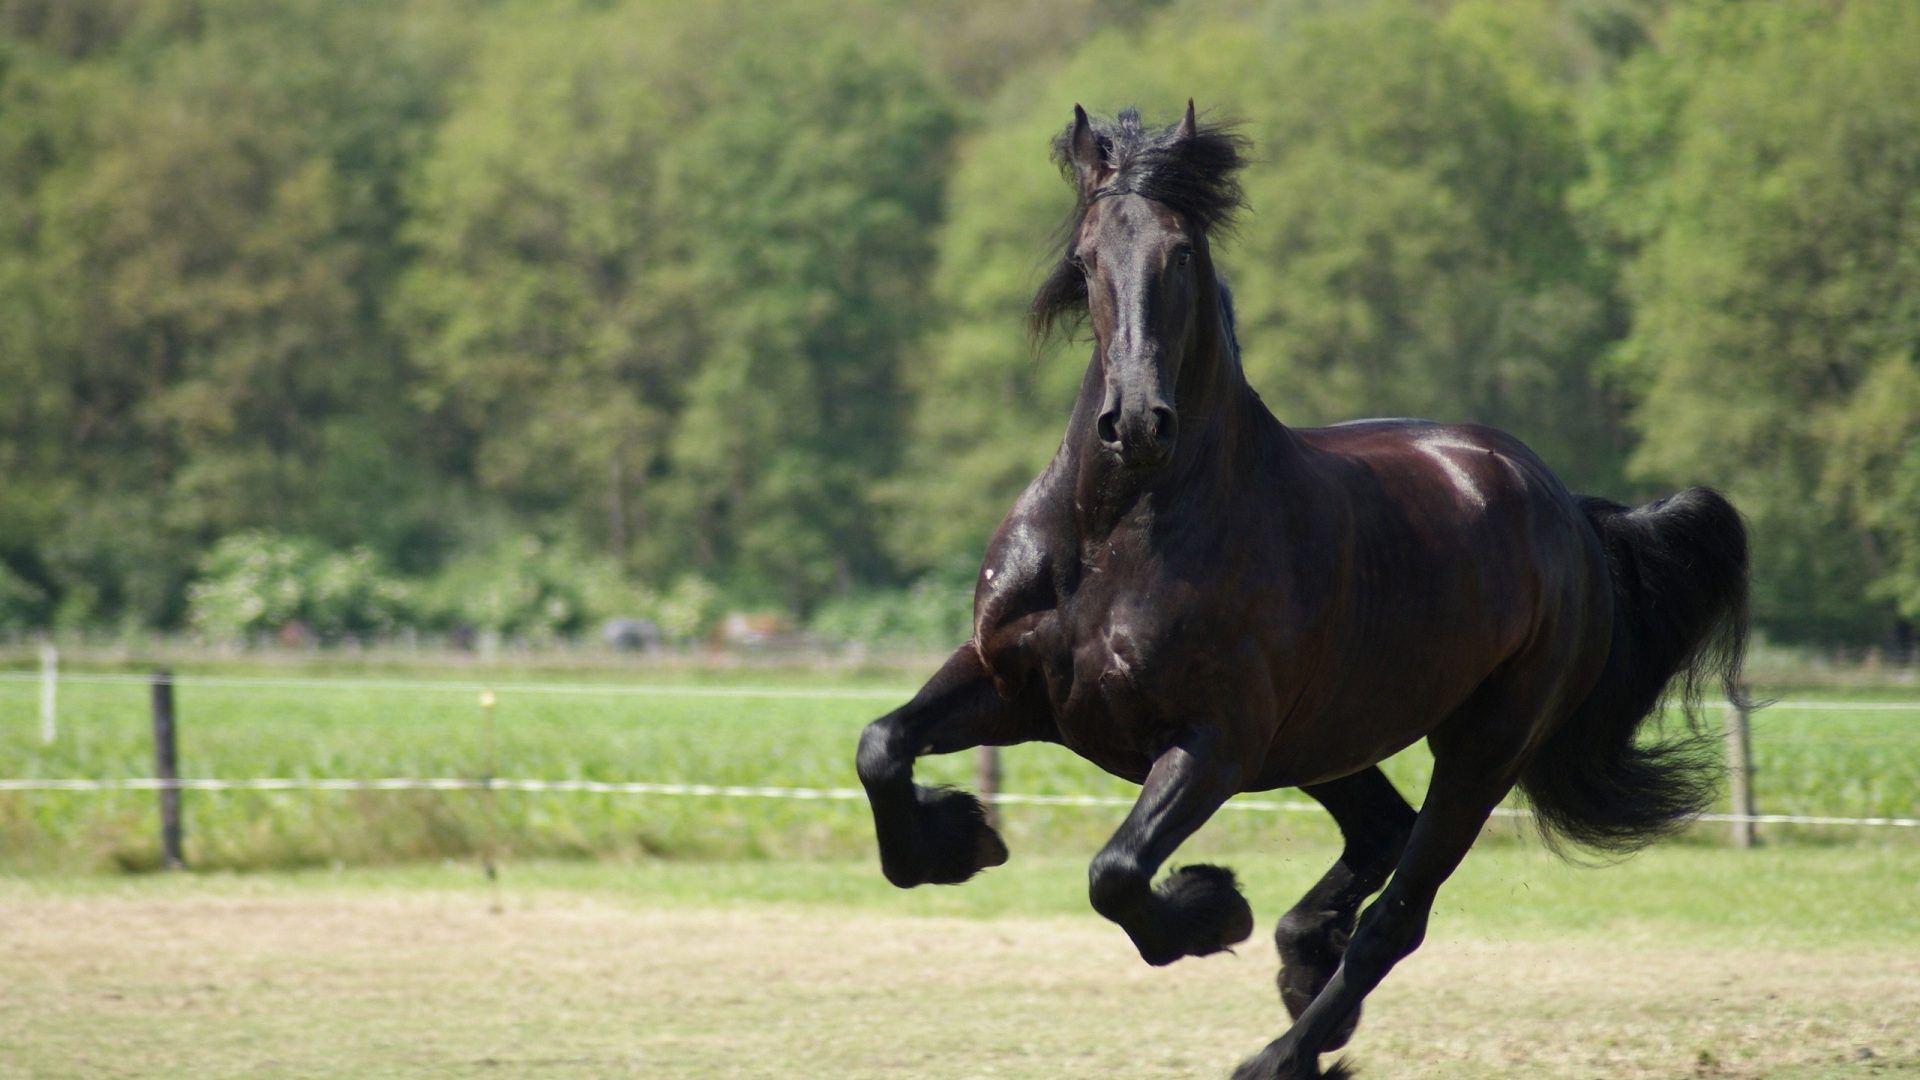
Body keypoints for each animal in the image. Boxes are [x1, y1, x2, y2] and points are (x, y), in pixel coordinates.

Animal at [855, 102, 1750, 1079]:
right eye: (1087, 258)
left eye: (1183, 253)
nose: (1136, 424)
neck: (1115, 531)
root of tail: (1569, 513)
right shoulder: (1016, 686)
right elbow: (881, 747)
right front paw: (957, 838)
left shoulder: (1212, 746)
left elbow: (1116, 873)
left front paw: (1209, 909)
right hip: (1331, 735)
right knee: (1380, 833)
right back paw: (1301, 955)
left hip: (1482, 748)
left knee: (1398, 917)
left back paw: (1284, 1048)